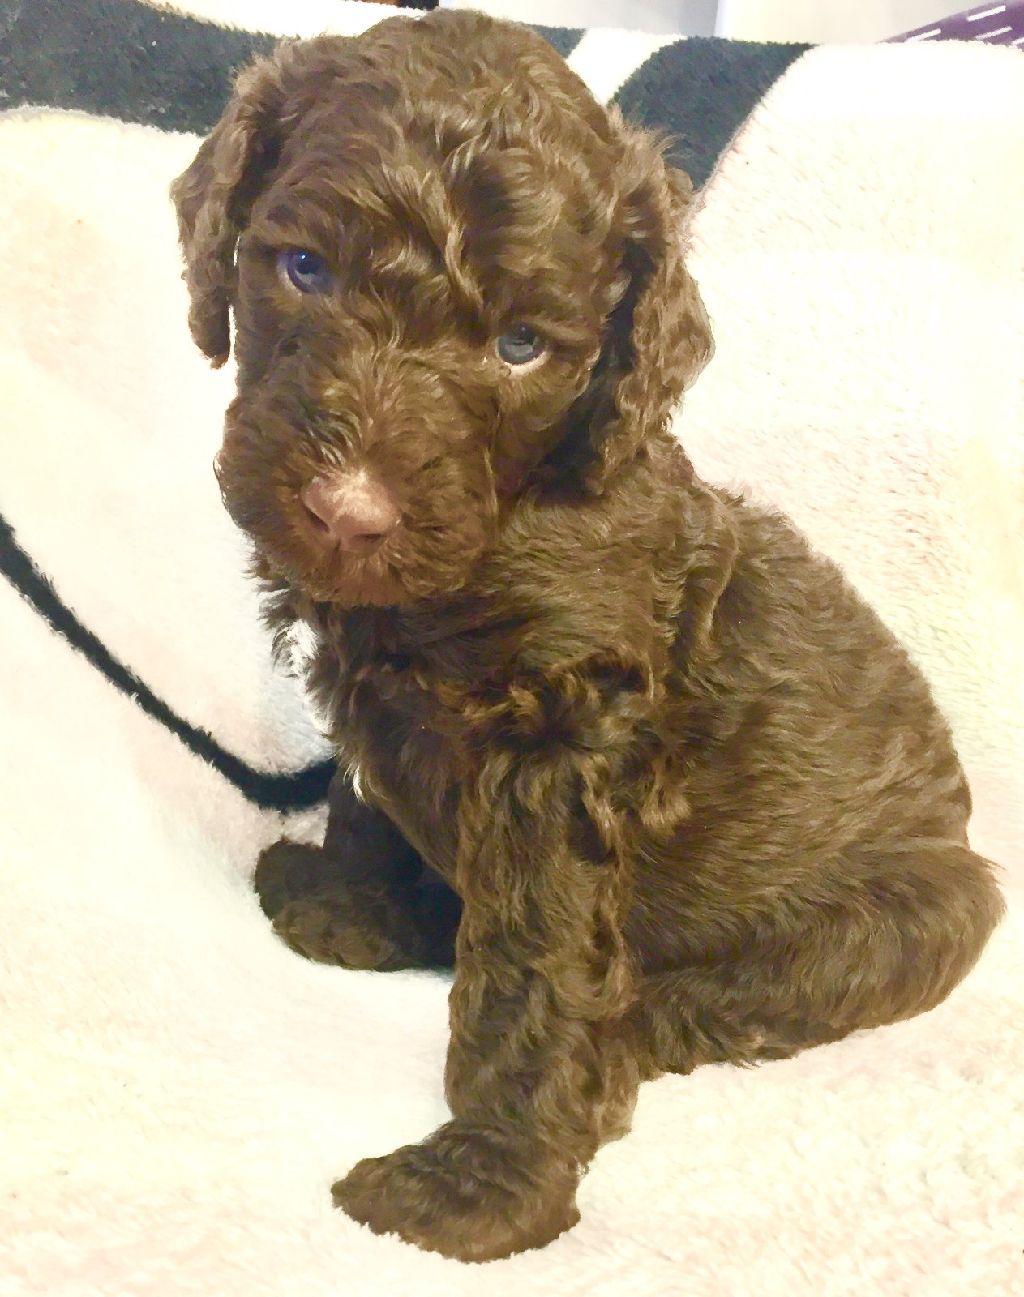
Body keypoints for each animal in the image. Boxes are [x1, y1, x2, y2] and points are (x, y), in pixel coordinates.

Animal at [172, 10, 1005, 1260]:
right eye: (304, 268)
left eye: (520, 345)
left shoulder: (560, 744)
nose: (349, 510)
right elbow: (368, 799)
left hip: (916, 912)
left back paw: (623, 1037)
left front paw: (480, 1183)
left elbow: (535, 963)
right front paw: (355, 906)